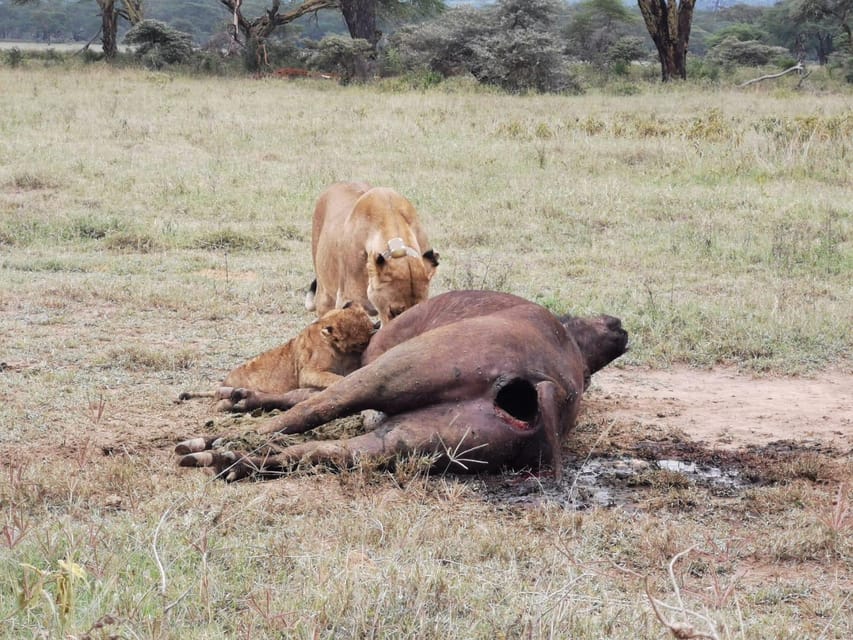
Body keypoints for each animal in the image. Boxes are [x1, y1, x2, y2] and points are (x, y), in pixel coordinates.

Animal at [175, 290, 624, 480]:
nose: (617, 325)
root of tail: (542, 385)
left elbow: (307, 395)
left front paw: (233, 398)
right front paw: (235, 396)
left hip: (395, 371)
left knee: (311, 414)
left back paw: (212, 445)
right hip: (417, 441)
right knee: (319, 451)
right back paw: (226, 460)